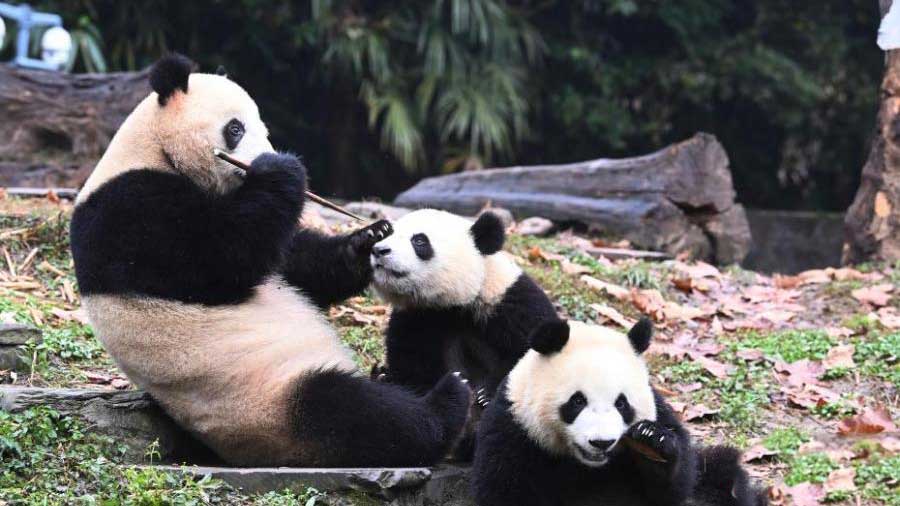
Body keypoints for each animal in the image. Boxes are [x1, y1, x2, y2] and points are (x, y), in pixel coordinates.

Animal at [70, 54, 471, 467]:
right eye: (235, 128)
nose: (263, 156)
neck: (154, 149)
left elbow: (292, 262)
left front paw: (366, 240)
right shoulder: (128, 209)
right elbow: (217, 261)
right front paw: (282, 170)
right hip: (266, 400)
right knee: (351, 412)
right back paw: (446, 403)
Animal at [369, 209, 557, 406]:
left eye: (419, 240)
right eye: (387, 234)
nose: (379, 250)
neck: (454, 304)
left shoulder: (512, 305)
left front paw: (486, 394)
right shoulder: (415, 316)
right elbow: (412, 364)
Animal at [472, 318, 768, 506]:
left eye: (622, 404)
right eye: (577, 401)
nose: (601, 442)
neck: (588, 467)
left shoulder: (659, 410)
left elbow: (677, 485)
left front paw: (653, 440)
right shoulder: (515, 428)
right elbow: (506, 490)